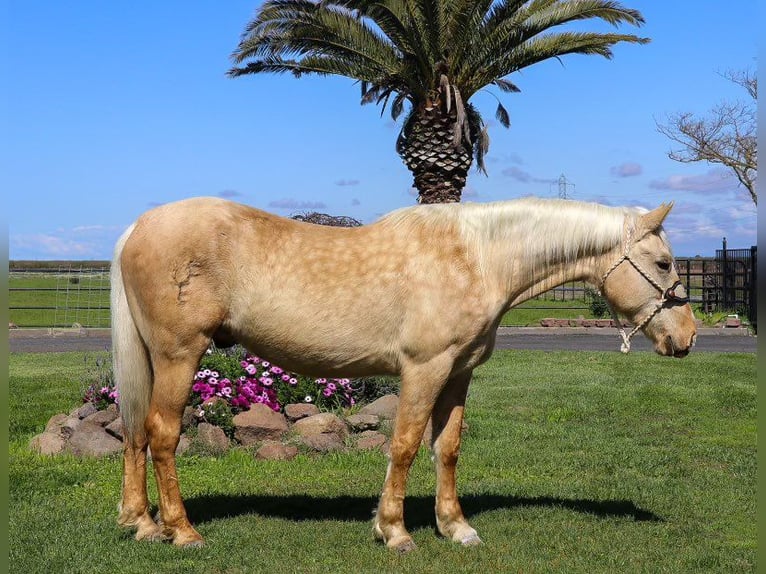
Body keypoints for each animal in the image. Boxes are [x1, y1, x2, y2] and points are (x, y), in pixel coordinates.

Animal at [112, 197, 696, 552]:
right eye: (664, 263)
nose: (687, 337)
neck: (476, 258)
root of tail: (138, 226)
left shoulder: (458, 374)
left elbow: (447, 448)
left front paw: (456, 526)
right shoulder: (424, 369)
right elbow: (407, 444)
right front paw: (394, 531)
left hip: (153, 359)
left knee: (136, 431)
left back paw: (142, 523)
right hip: (180, 355)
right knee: (162, 433)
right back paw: (182, 530)